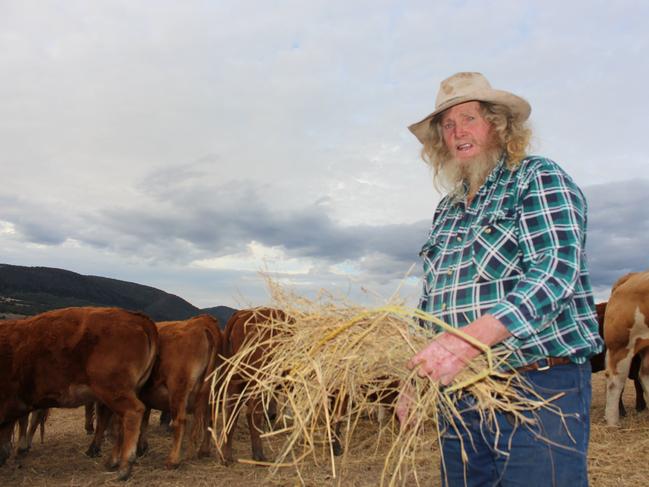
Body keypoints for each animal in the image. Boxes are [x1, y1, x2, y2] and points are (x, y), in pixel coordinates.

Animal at [0, 308, 157, 480]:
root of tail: (137, 317)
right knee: (120, 422)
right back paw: (112, 461)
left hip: (114, 392)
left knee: (133, 412)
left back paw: (124, 467)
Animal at [137, 316, 223, 468]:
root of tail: (203, 322)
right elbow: (144, 421)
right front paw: (142, 447)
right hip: (213, 392)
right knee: (210, 418)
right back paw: (203, 451)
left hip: (178, 389)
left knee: (180, 421)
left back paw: (173, 460)